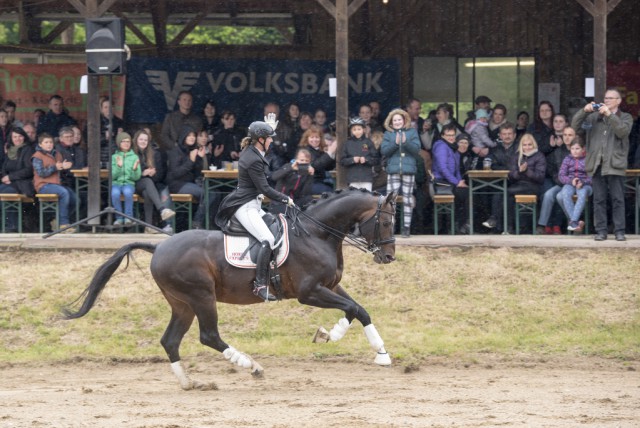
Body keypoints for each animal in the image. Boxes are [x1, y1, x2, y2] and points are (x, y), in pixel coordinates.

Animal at [63, 189, 396, 390]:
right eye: (386, 222)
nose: (389, 257)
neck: (316, 233)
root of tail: (158, 247)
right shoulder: (309, 292)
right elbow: (351, 309)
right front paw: (330, 335)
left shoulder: (330, 285)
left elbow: (359, 310)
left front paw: (378, 352)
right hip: (201, 297)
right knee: (209, 336)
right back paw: (252, 366)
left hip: (182, 304)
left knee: (170, 340)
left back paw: (188, 382)